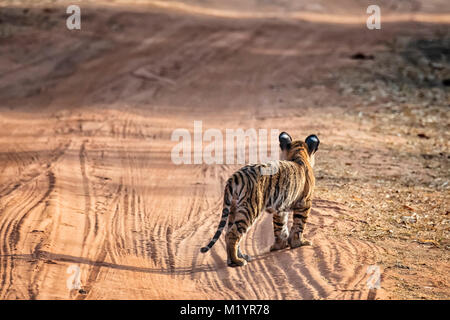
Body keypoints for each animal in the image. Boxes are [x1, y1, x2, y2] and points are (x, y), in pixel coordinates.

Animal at [200, 131, 320, 266]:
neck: (298, 154)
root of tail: (235, 176)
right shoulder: (304, 203)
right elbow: (299, 225)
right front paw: (299, 243)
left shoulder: (280, 207)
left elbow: (280, 227)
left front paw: (279, 246)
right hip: (250, 208)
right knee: (232, 234)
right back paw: (238, 261)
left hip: (233, 208)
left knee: (228, 233)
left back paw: (235, 258)